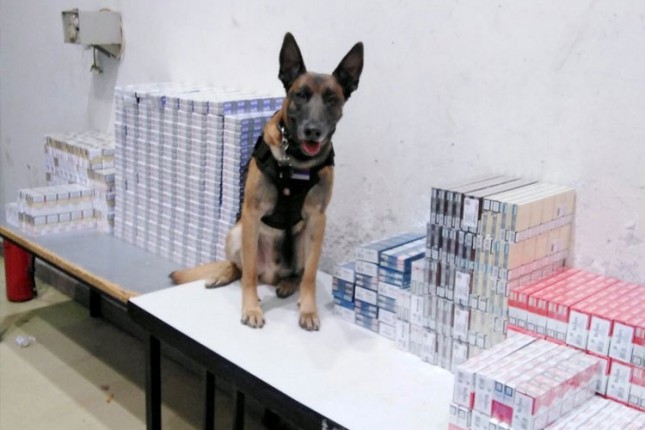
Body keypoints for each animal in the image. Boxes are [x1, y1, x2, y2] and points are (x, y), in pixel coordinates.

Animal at [170, 33, 364, 331]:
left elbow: (310, 276)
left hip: (304, 238)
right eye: (301, 95)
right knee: (241, 268)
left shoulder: (318, 219)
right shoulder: (252, 214)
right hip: (237, 233)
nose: (313, 131)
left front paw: (309, 310)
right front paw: (251, 308)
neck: (296, 162)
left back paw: (287, 284)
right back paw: (224, 274)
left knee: (299, 272)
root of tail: (270, 275)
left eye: (332, 99)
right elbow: (248, 275)